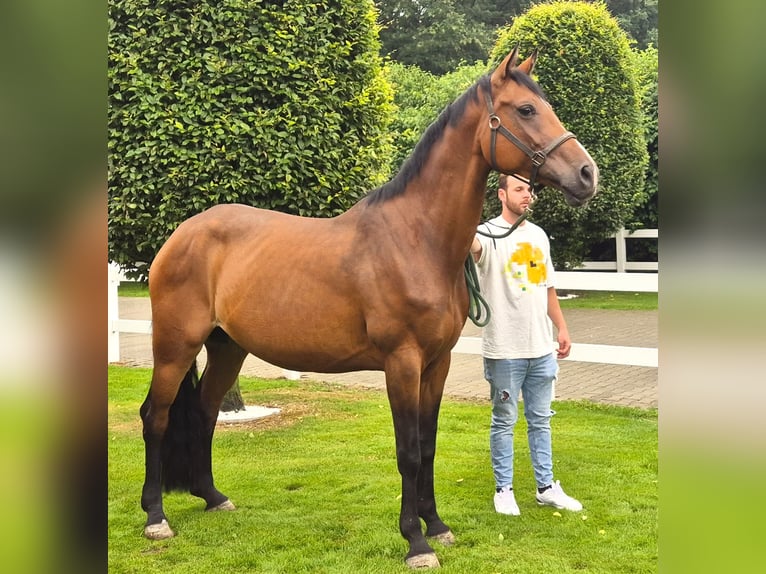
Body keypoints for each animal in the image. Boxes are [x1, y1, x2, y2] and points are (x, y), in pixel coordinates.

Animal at [142, 47, 600, 568]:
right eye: (526, 109)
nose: (588, 174)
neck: (415, 238)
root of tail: (182, 234)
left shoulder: (436, 364)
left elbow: (428, 446)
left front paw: (437, 526)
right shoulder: (402, 362)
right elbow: (408, 451)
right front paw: (416, 542)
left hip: (226, 348)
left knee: (203, 412)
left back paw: (213, 497)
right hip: (175, 345)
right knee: (155, 417)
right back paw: (156, 517)